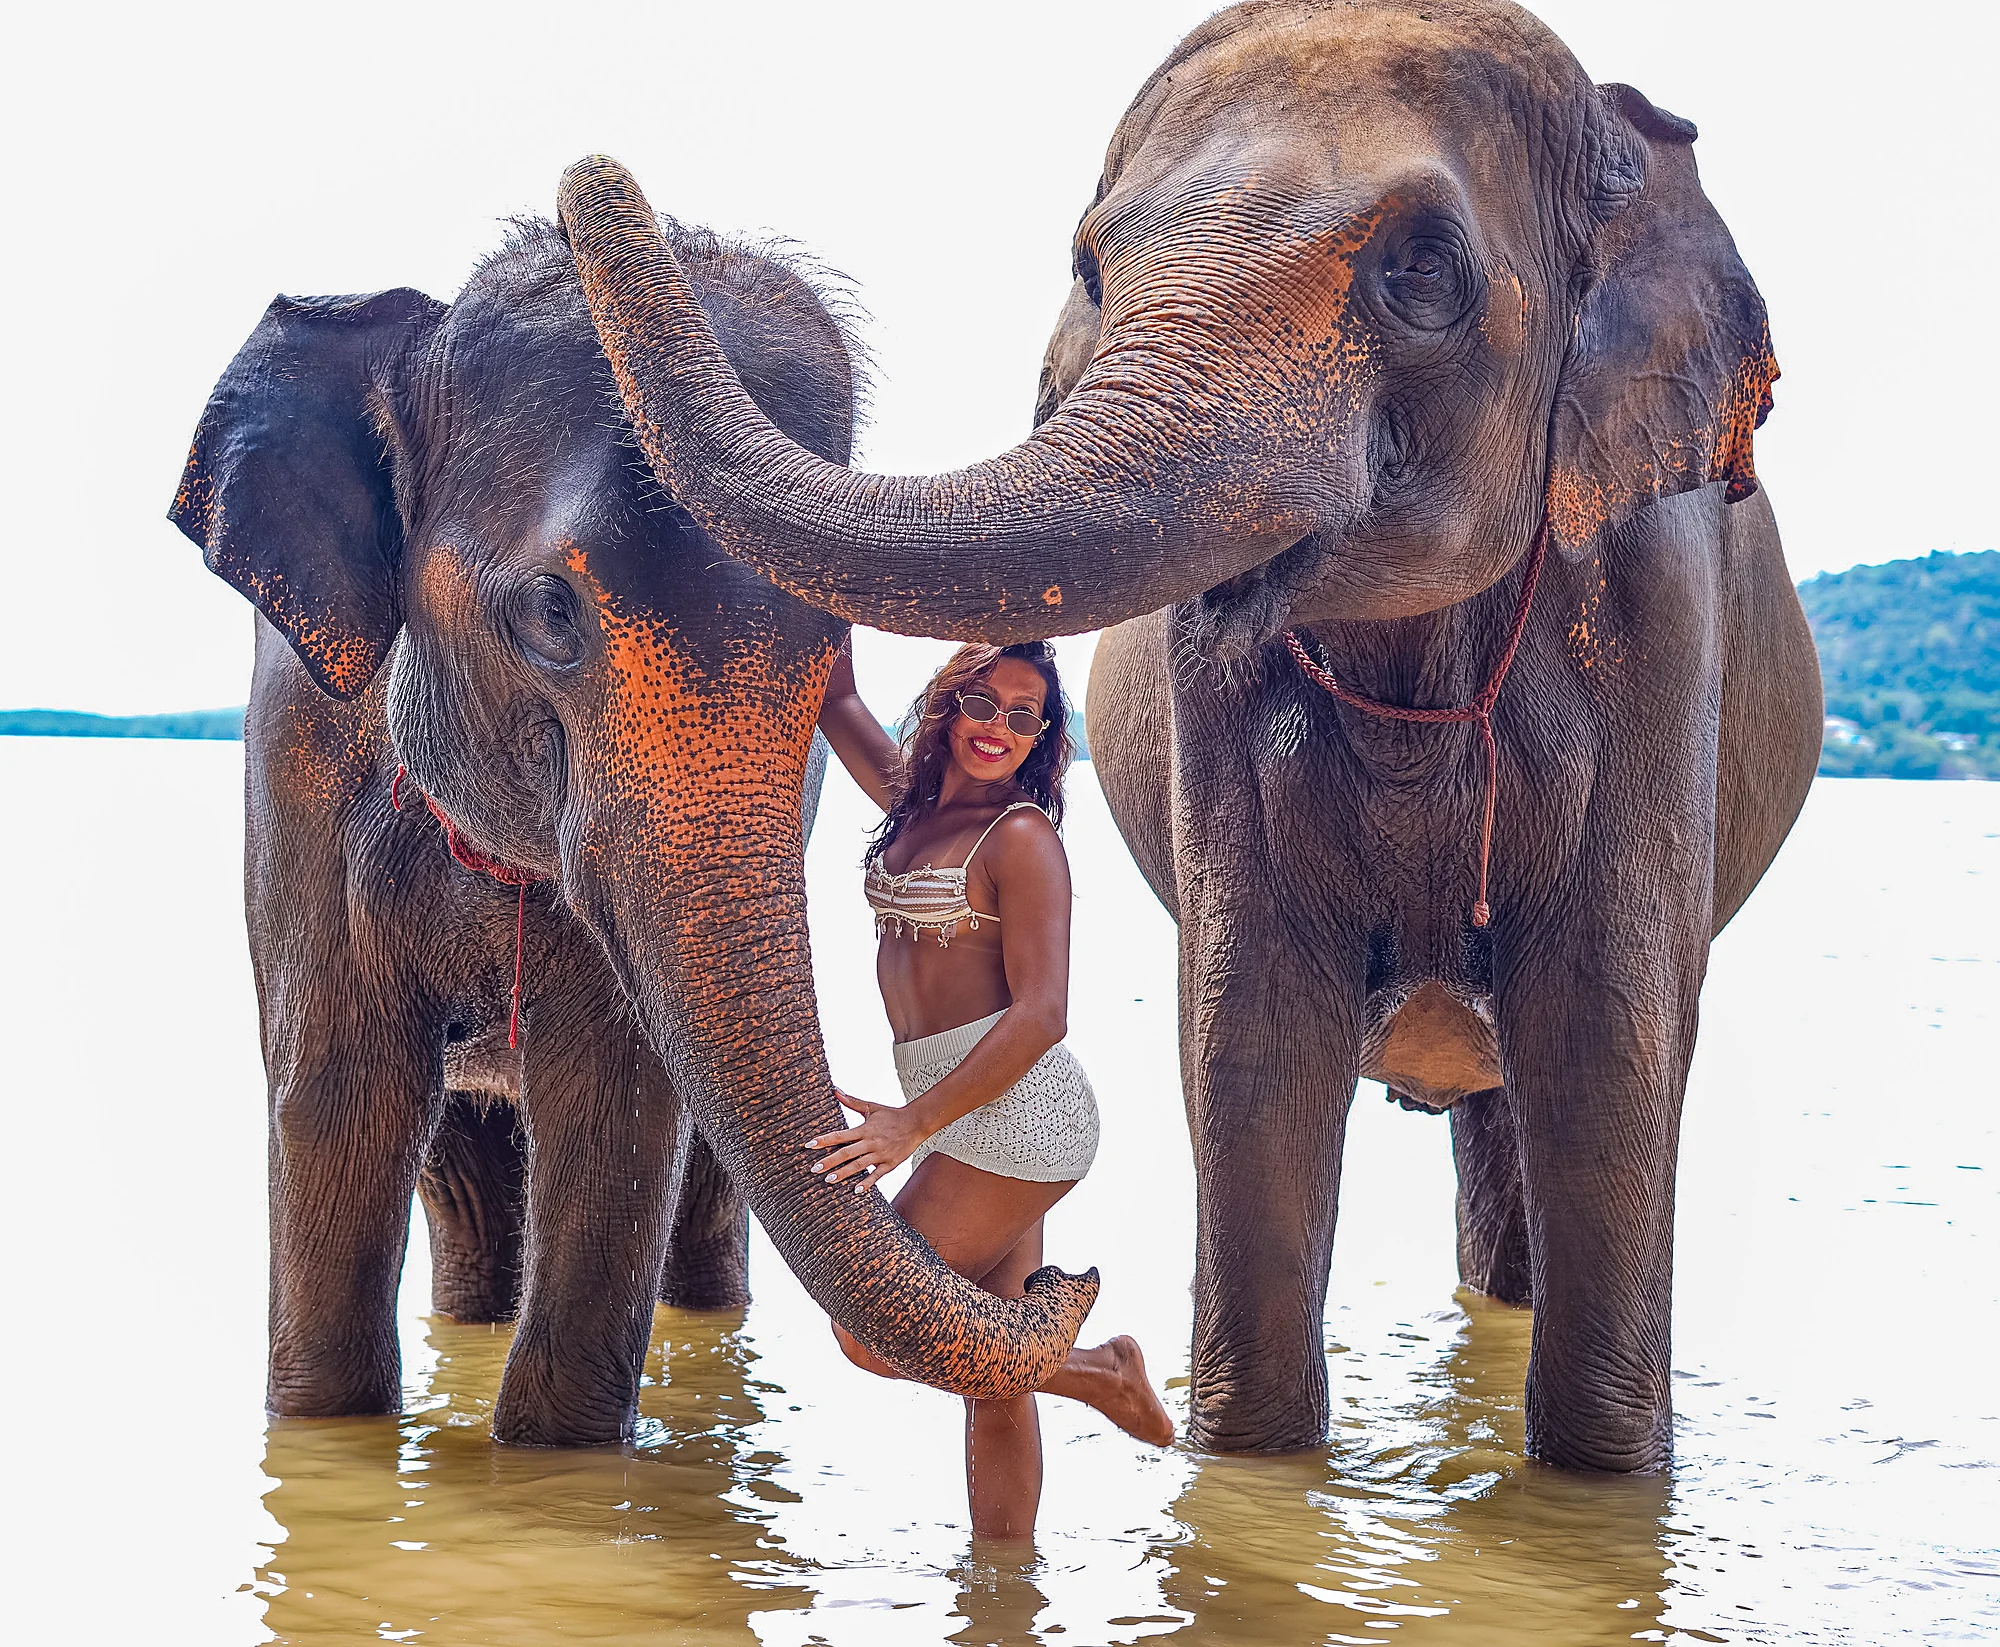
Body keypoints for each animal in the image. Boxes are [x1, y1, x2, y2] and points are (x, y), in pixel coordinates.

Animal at [168, 217, 1098, 1445]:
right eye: (552, 614)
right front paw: (331, 1429)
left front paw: (550, 1456)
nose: (1065, 1276)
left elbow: (617, 1108)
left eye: (834, 646)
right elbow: (335, 1093)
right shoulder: (294, 776)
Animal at [550, 0, 1819, 1471]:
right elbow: (1246, 1033)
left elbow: (1608, 1036)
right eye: (1089, 264)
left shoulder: (1660, 621)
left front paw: (1601, 1489)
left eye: (1424, 267)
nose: (589, 181)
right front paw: (1251, 1461)